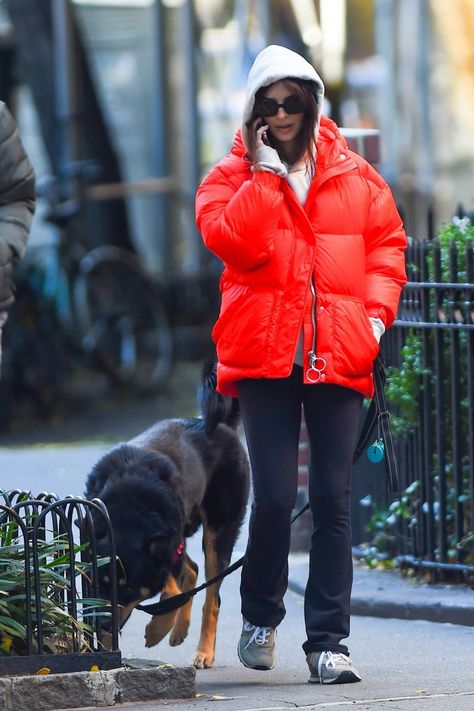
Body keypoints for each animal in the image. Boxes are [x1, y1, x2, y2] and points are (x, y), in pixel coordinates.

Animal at [84, 364, 250, 672]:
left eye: (127, 587)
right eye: (100, 580)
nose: (103, 623)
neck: (128, 509)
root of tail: (220, 426)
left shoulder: (167, 547)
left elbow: (172, 594)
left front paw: (157, 630)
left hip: (218, 532)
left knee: (210, 595)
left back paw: (203, 651)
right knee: (192, 571)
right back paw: (180, 631)